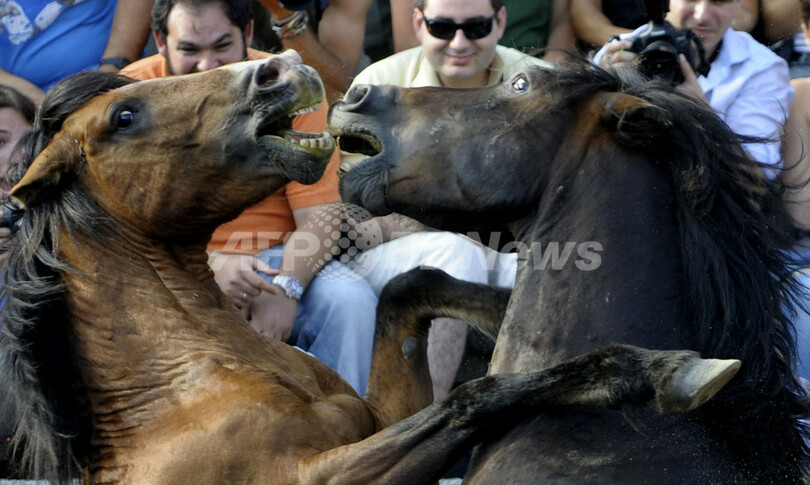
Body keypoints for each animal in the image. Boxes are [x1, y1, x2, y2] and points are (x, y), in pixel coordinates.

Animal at [1, 51, 740, 482]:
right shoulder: (319, 475)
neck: (178, 389)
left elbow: (411, 293)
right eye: (124, 115)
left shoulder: (377, 418)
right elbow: (471, 398)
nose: (280, 66)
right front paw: (660, 369)